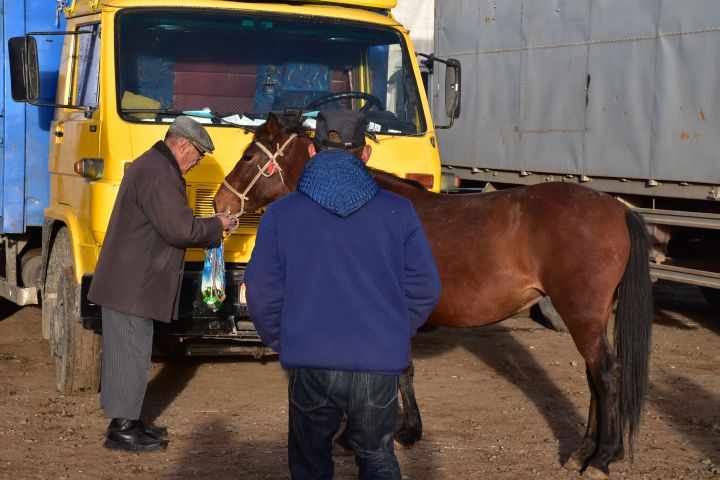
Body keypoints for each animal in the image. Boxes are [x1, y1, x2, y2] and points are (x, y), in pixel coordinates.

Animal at [214, 113, 652, 480]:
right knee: (594, 376)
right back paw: (584, 451)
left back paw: (602, 457)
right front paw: (403, 430)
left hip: (581, 313)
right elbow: (399, 371)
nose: (221, 203)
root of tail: (616, 208)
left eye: (249, 155)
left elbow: (390, 370)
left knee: (605, 374)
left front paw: (386, 434)